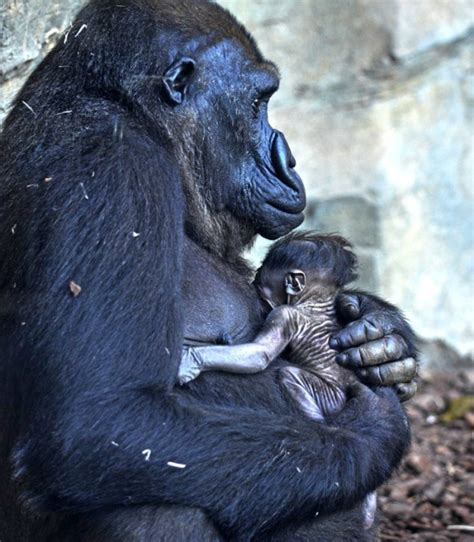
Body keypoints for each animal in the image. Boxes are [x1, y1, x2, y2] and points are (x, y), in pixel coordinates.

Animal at [179, 232, 378, 528]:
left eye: (263, 287)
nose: (257, 291)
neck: (315, 302)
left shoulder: (282, 315)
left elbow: (260, 353)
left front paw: (192, 361)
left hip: (331, 397)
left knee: (290, 376)